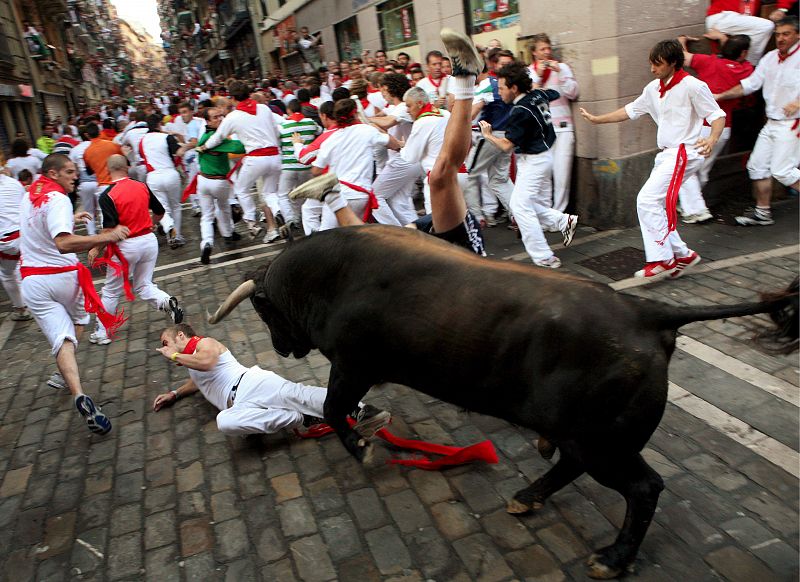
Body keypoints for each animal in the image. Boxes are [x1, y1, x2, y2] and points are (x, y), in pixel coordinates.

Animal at [209, 226, 796, 580]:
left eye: (262, 310)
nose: (282, 347)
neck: (334, 276)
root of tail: (648, 315)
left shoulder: (352, 368)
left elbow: (334, 412)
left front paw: (363, 447)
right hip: (587, 437)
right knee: (572, 465)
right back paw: (528, 497)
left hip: (604, 444)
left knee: (643, 488)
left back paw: (611, 557)